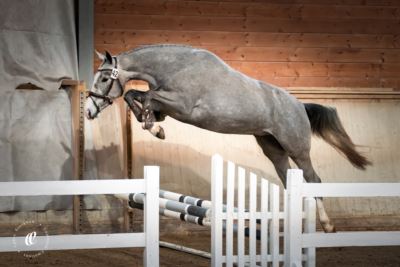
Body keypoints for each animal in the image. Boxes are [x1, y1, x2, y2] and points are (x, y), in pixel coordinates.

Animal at [86, 44, 370, 232]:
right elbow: (134, 96)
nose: (89, 111)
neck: (175, 67)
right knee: (290, 181)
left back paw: (327, 225)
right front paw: (154, 127)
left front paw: (151, 126)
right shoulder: (166, 108)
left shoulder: (182, 106)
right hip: (273, 149)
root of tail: (300, 105)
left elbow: (144, 96)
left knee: (313, 180)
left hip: (297, 148)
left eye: (104, 78)